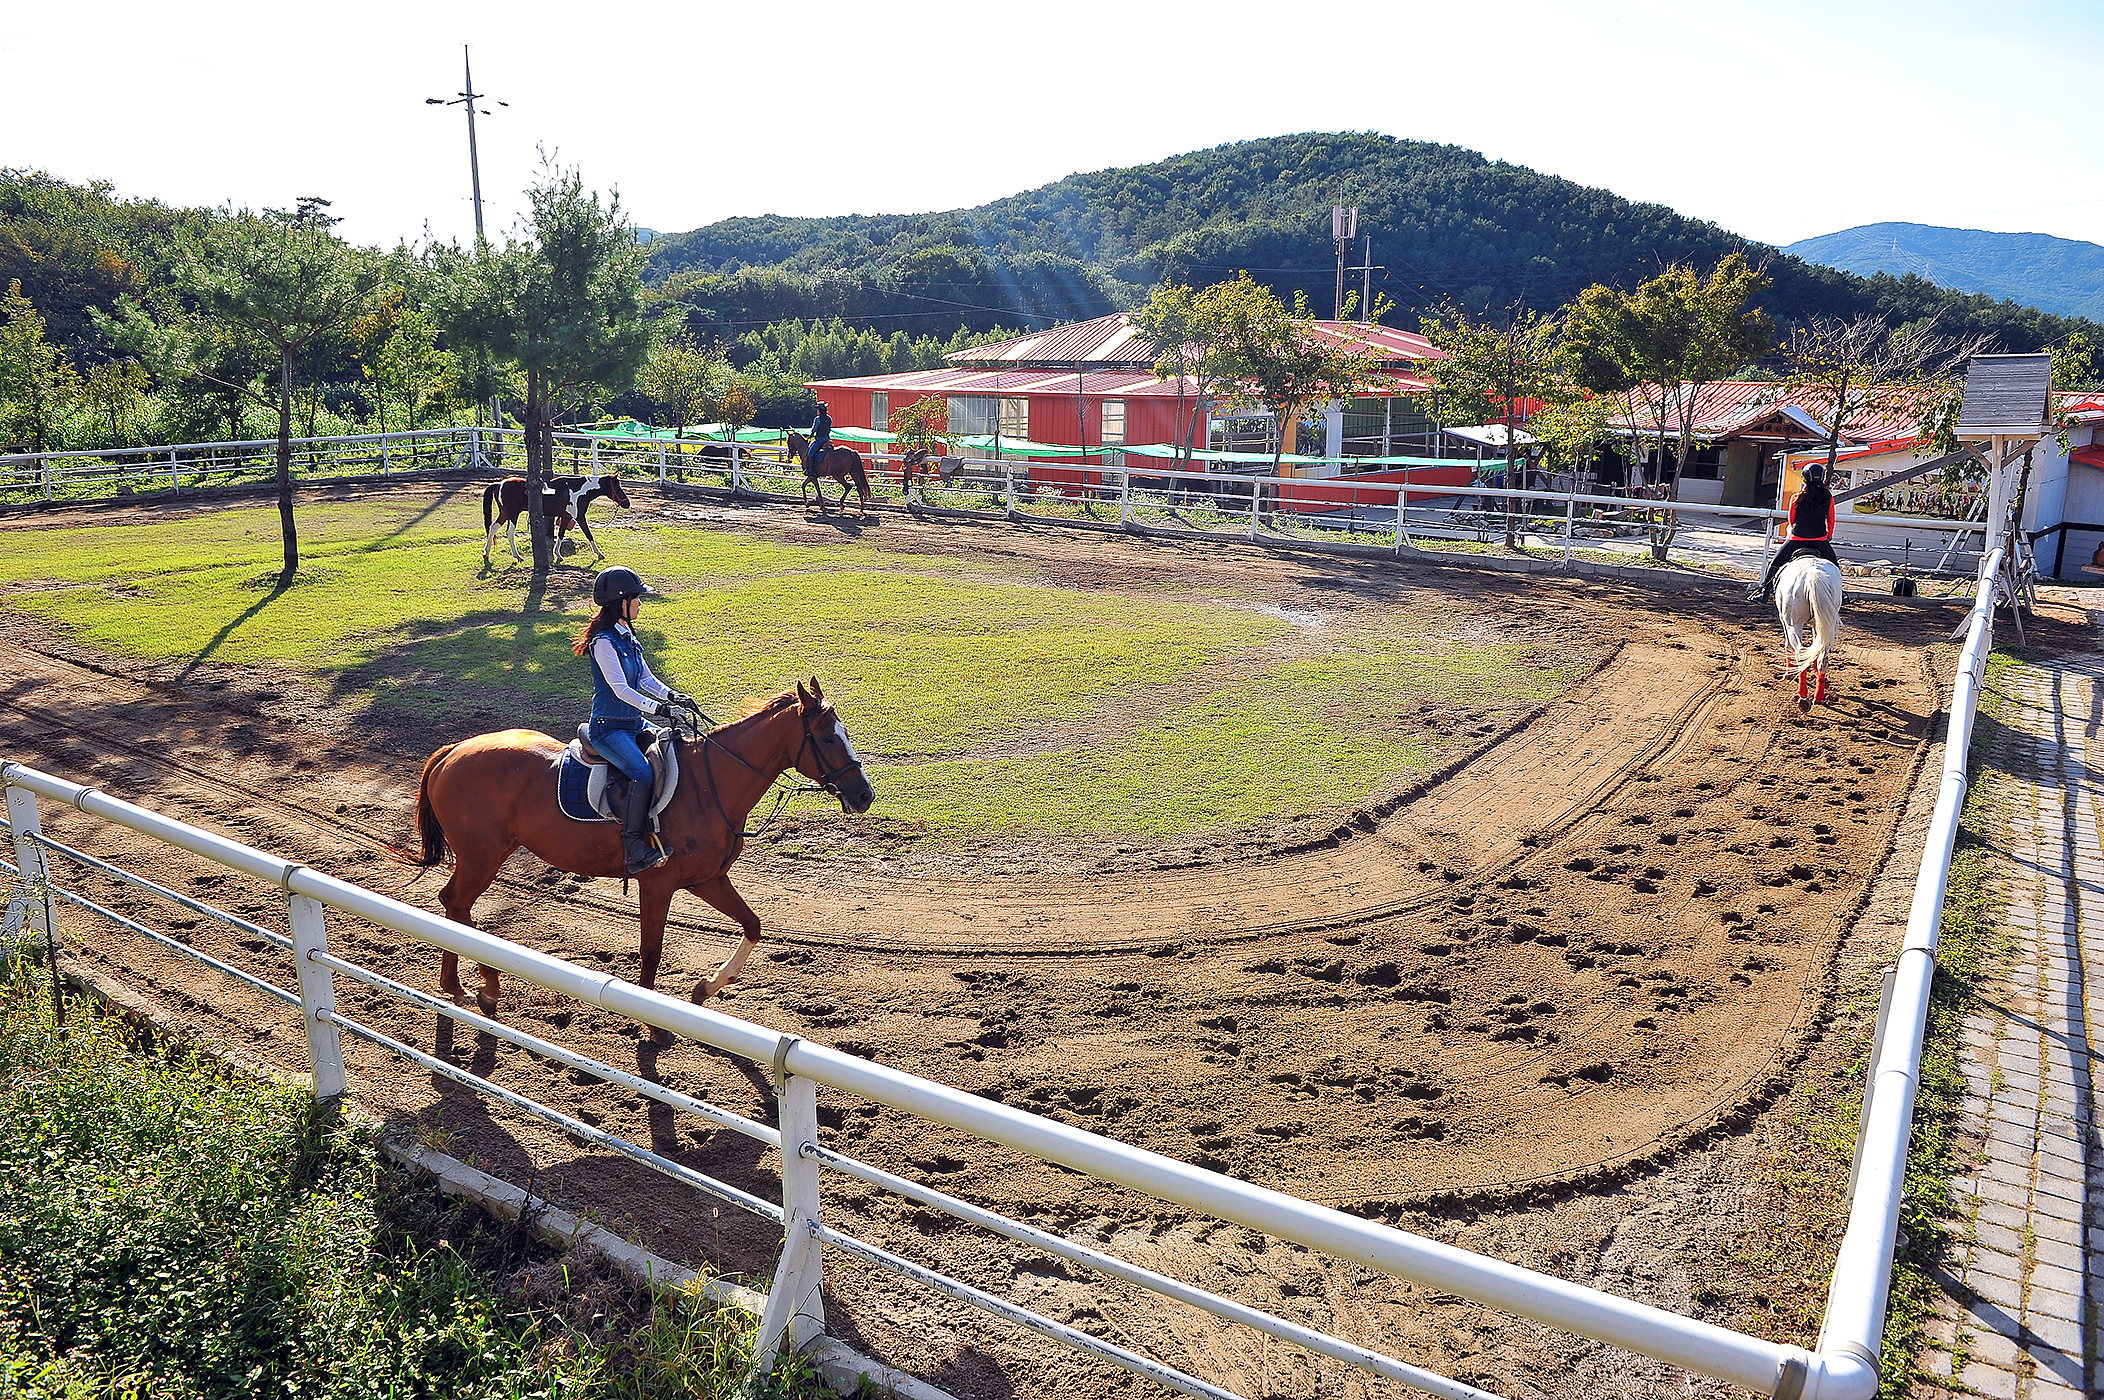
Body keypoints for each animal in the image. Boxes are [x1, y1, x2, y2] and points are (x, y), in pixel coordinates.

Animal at [406, 677, 875, 1023]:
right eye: (828, 740)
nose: (865, 795)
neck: (711, 783)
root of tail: (455, 749)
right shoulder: (658, 884)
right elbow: (651, 953)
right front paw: (654, 1024)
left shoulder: (707, 879)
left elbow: (752, 925)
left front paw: (705, 987)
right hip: (482, 857)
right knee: (455, 903)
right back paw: (474, 984)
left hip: (482, 857)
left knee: (456, 906)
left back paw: (470, 986)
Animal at [481, 467, 626, 560]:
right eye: (617, 487)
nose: (627, 503)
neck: (578, 491)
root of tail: (499, 484)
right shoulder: (579, 517)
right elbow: (588, 534)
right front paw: (599, 554)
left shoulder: (565, 517)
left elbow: (561, 535)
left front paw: (558, 554)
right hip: (513, 514)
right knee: (510, 533)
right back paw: (517, 556)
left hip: (504, 514)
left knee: (493, 528)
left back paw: (486, 553)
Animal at [1775, 547, 1843, 694]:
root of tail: (1813, 573)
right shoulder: (1818, 625)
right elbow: (1816, 650)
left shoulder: (1784, 620)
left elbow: (1788, 646)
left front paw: (1788, 675)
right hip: (1828, 625)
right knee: (1823, 658)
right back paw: (1818, 695)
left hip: (1793, 624)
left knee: (1799, 652)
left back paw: (1803, 695)